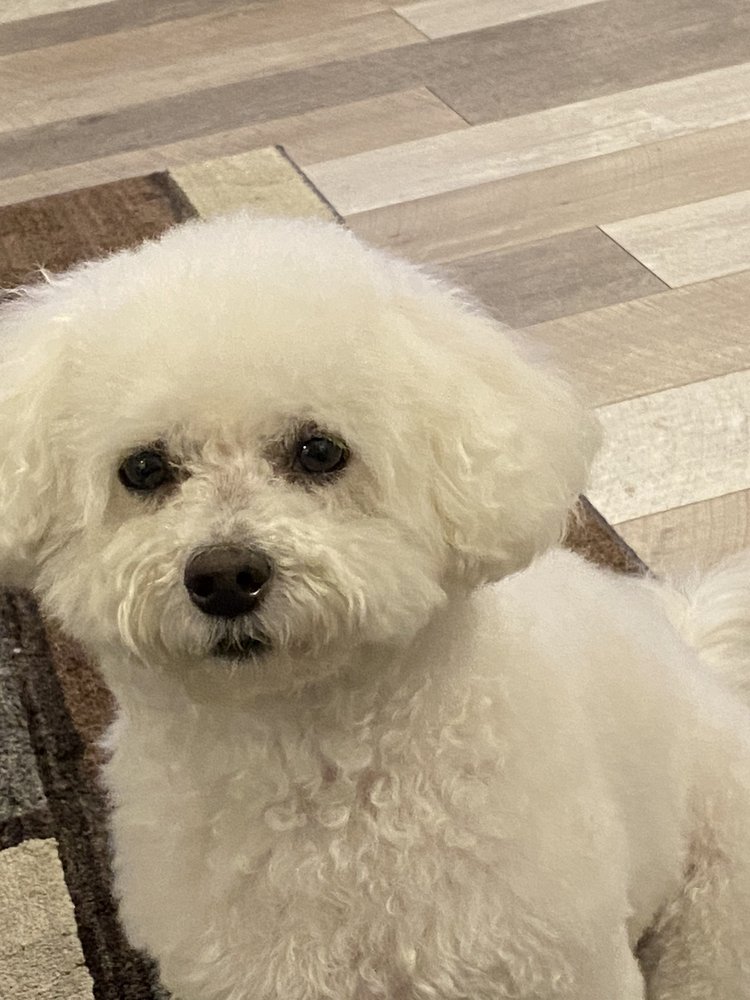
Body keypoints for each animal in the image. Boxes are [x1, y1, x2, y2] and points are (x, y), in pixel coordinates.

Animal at [1, 214, 750, 1000]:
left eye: (320, 451)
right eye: (143, 469)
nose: (226, 576)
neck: (315, 772)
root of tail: (693, 653)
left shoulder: (549, 961)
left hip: (714, 907)